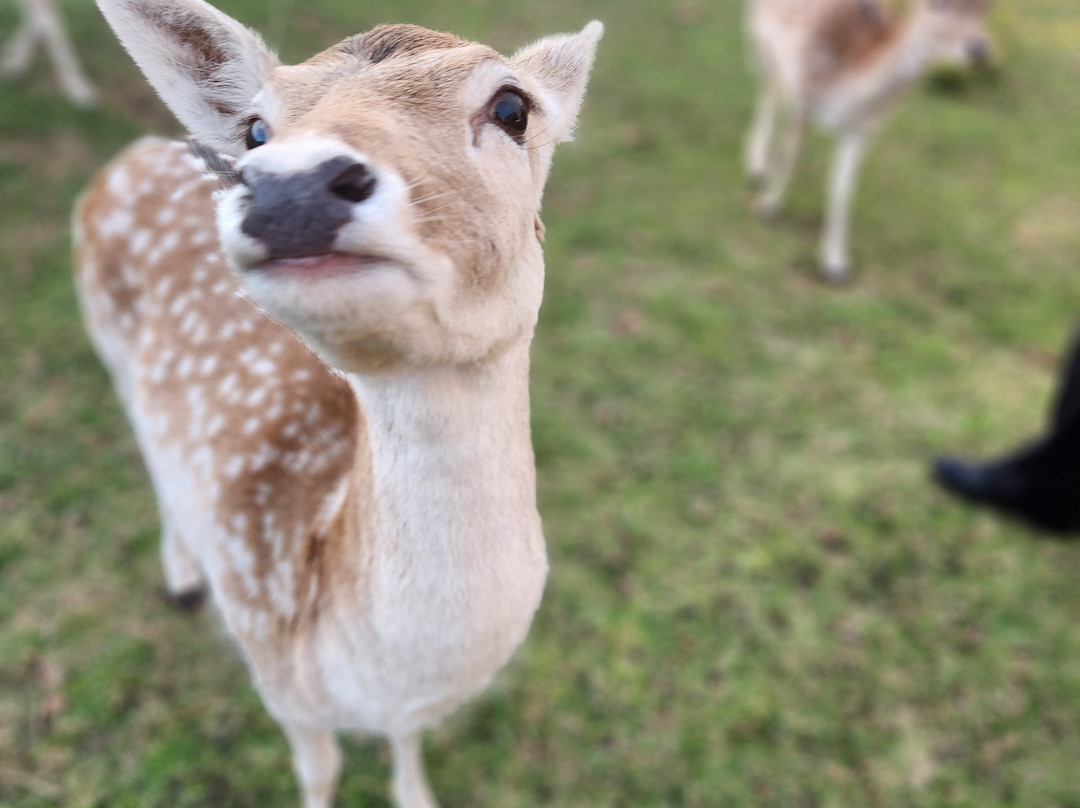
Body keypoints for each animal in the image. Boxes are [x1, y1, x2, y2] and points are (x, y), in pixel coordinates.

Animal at [73, 0, 602, 805]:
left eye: (513, 108)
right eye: (256, 130)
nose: (289, 188)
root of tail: (126, 157)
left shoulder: (405, 705)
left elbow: (408, 740)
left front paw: (416, 793)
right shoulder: (276, 676)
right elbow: (318, 771)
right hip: (106, 342)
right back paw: (184, 579)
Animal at [745, 0, 992, 282]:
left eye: (986, 8)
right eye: (938, 4)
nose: (979, 49)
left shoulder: (859, 130)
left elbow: (843, 189)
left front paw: (835, 264)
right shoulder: (807, 92)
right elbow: (790, 155)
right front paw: (767, 207)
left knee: (773, 90)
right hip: (759, 38)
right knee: (766, 88)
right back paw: (756, 166)